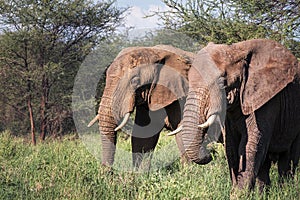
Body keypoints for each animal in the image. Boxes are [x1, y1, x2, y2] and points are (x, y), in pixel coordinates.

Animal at [170, 38, 300, 191]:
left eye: (222, 82)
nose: (210, 153)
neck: (237, 50)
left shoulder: (266, 100)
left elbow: (250, 144)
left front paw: (239, 193)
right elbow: (231, 147)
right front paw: (236, 191)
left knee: (288, 159)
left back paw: (285, 190)